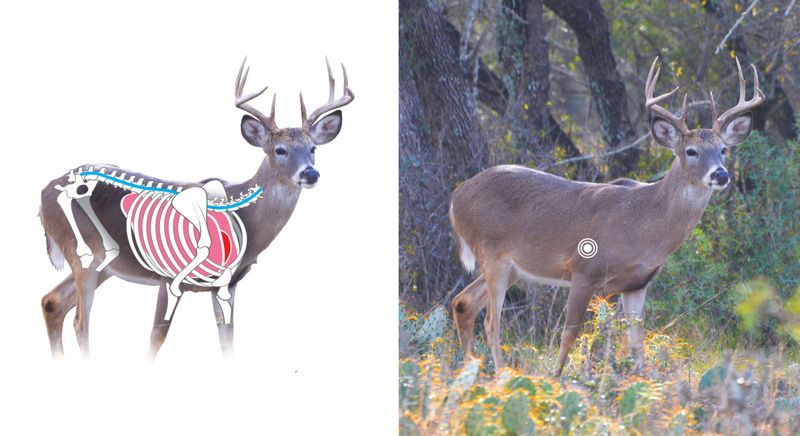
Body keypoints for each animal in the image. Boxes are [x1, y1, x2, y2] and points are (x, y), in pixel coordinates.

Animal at [38, 57, 354, 359]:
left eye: (313, 149)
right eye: (280, 150)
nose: (310, 173)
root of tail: (44, 193)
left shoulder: (227, 284)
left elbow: (227, 340)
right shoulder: (168, 275)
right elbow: (156, 337)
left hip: (103, 264)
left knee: (53, 302)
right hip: (85, 253)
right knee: (80, 321)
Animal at [449, 57, 763, 377]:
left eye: (723, 149)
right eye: (691, 151)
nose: (721, 175)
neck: (642, 226)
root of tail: (456, 196)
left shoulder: (637, 284)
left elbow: (637, 343)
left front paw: (643, 382)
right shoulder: (584, 270)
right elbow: (569, 335)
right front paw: (555, 379)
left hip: (514, 268)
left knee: (463, 302)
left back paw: (470, 371)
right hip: (493, 255)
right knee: (491, 323)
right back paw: (499, 375)